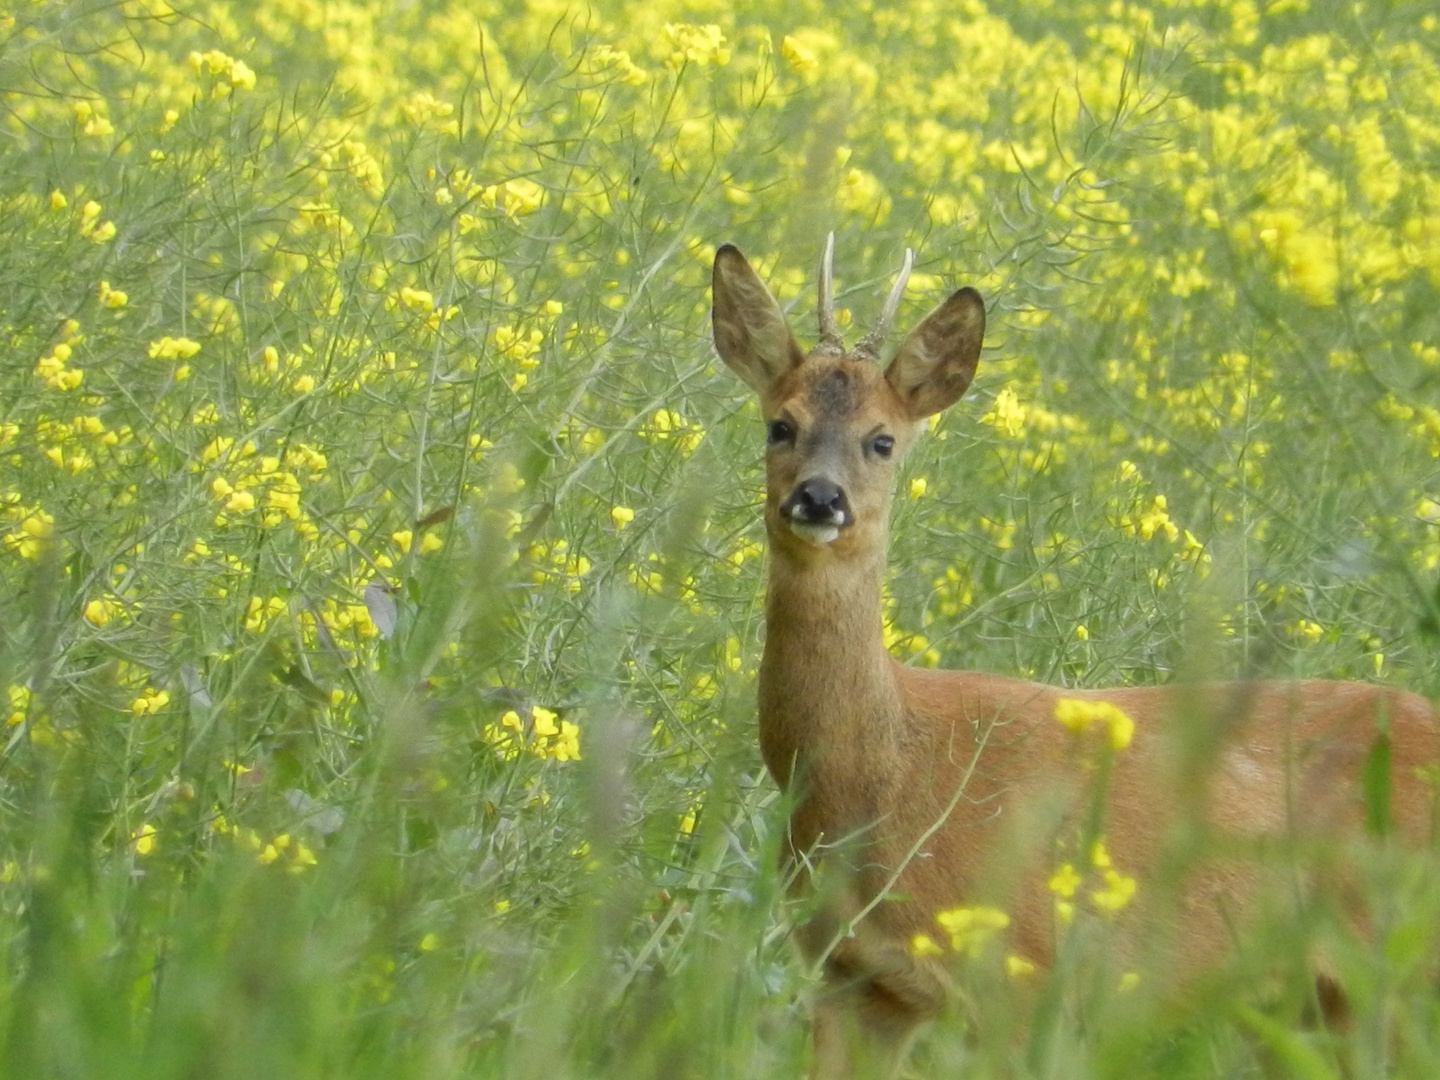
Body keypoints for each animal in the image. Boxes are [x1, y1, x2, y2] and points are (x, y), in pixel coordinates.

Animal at [708, 239, 1440, 1080]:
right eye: (780, 425)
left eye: (882, 438)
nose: (820, 498)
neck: (882, 771)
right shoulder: (852, 981)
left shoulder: (1024, 974)